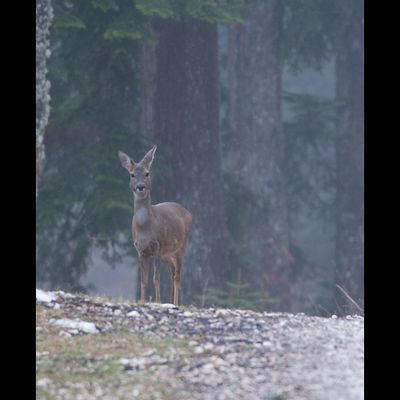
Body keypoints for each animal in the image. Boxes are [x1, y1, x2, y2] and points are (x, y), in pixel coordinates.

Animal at [117, 145, 192, 304]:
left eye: (147, 173)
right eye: (132, 174)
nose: (140, 186)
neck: (145, 228)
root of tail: (188, 213)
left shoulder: (158, 245)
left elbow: (155, 278)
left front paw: (157, 301)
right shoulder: (140, 250)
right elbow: (143, 280)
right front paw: (142, 301)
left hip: (181, 246)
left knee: (177, 275)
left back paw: (175, 303)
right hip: (167, 253)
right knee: (172, 272)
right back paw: (170, 301)